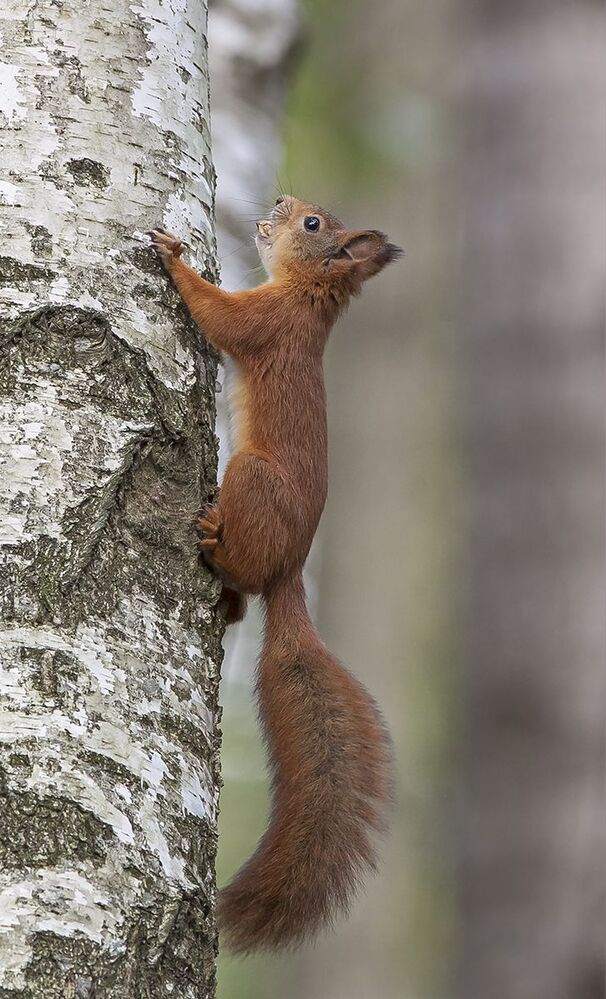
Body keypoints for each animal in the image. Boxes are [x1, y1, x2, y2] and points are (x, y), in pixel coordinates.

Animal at [150, 195, 401, 954]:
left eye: (314, 224)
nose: (283, 204)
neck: (307, 297)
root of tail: (292, 567)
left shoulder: (266, 322)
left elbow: (220, 318)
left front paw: (173, 257)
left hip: (251, 477)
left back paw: (213, 543)